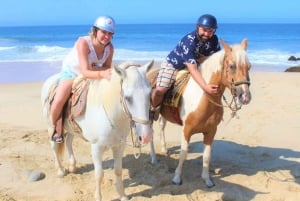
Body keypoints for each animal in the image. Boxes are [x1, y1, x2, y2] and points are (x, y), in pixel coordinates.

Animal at [41, 60, 155, 201]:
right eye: (128, 97)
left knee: (68, 141)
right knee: (54, 147)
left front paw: (122, 195)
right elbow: (99, 175)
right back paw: (61, 171)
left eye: (150, 94)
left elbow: (118, 170)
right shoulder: (96, 148)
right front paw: (98, 197)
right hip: (51, 125)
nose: (147, 136)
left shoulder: (119, 146)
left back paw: (72, 166)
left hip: (73, 128)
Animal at [149, 39, 252, 187]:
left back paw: (164, 149)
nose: (245, 97)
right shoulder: (186, 130)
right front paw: (177, 178)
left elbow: (207, 156)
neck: (203, 97)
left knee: (161, 127)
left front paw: (207, 179)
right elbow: (183, 154)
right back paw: (153, 158)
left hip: (164, 115)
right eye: (232, 66)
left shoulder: (211, 131)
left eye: (249, 66)